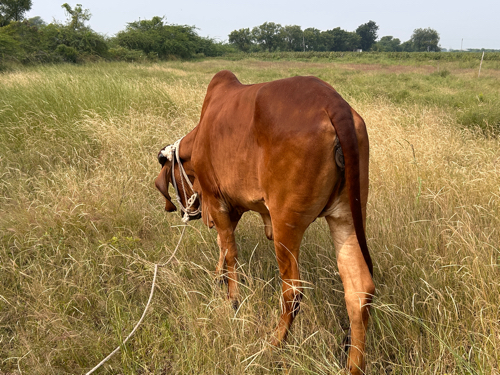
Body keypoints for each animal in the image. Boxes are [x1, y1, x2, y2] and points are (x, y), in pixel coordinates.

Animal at [154, 70, 374, 374]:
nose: (190, 211)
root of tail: (335, 104)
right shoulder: (233, 207)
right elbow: (223, 245)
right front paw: (218, 278)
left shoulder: (217, 200)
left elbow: (230, 251)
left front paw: (233, 300)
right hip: (346, 217)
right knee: (359, 293)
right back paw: (353, 365)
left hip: (285, 225)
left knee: (293, 292)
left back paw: (273, 345)